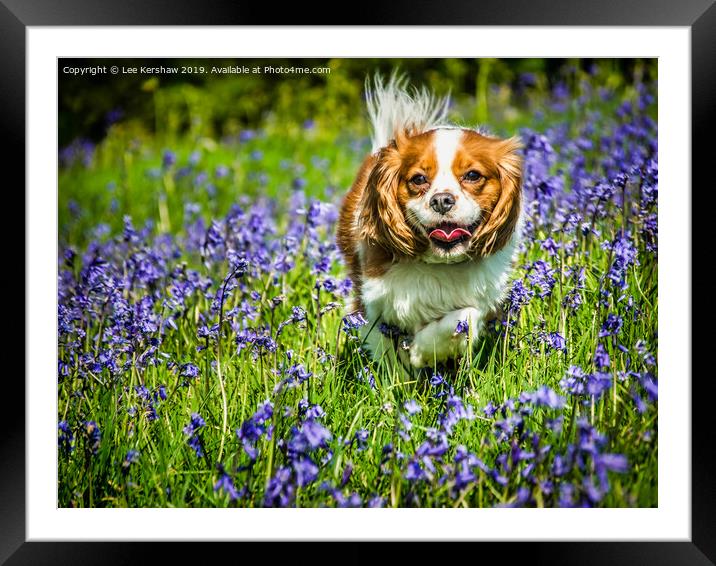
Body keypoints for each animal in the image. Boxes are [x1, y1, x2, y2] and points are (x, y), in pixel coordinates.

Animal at [338, 75, 524, 374]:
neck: (441, 263)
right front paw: (402, 377)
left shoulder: (483, 298)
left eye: (473, 175)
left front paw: (421, 352)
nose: (442, 200)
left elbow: (463, 318)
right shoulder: (374, 301)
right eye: (418, 179)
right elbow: (390, 358)